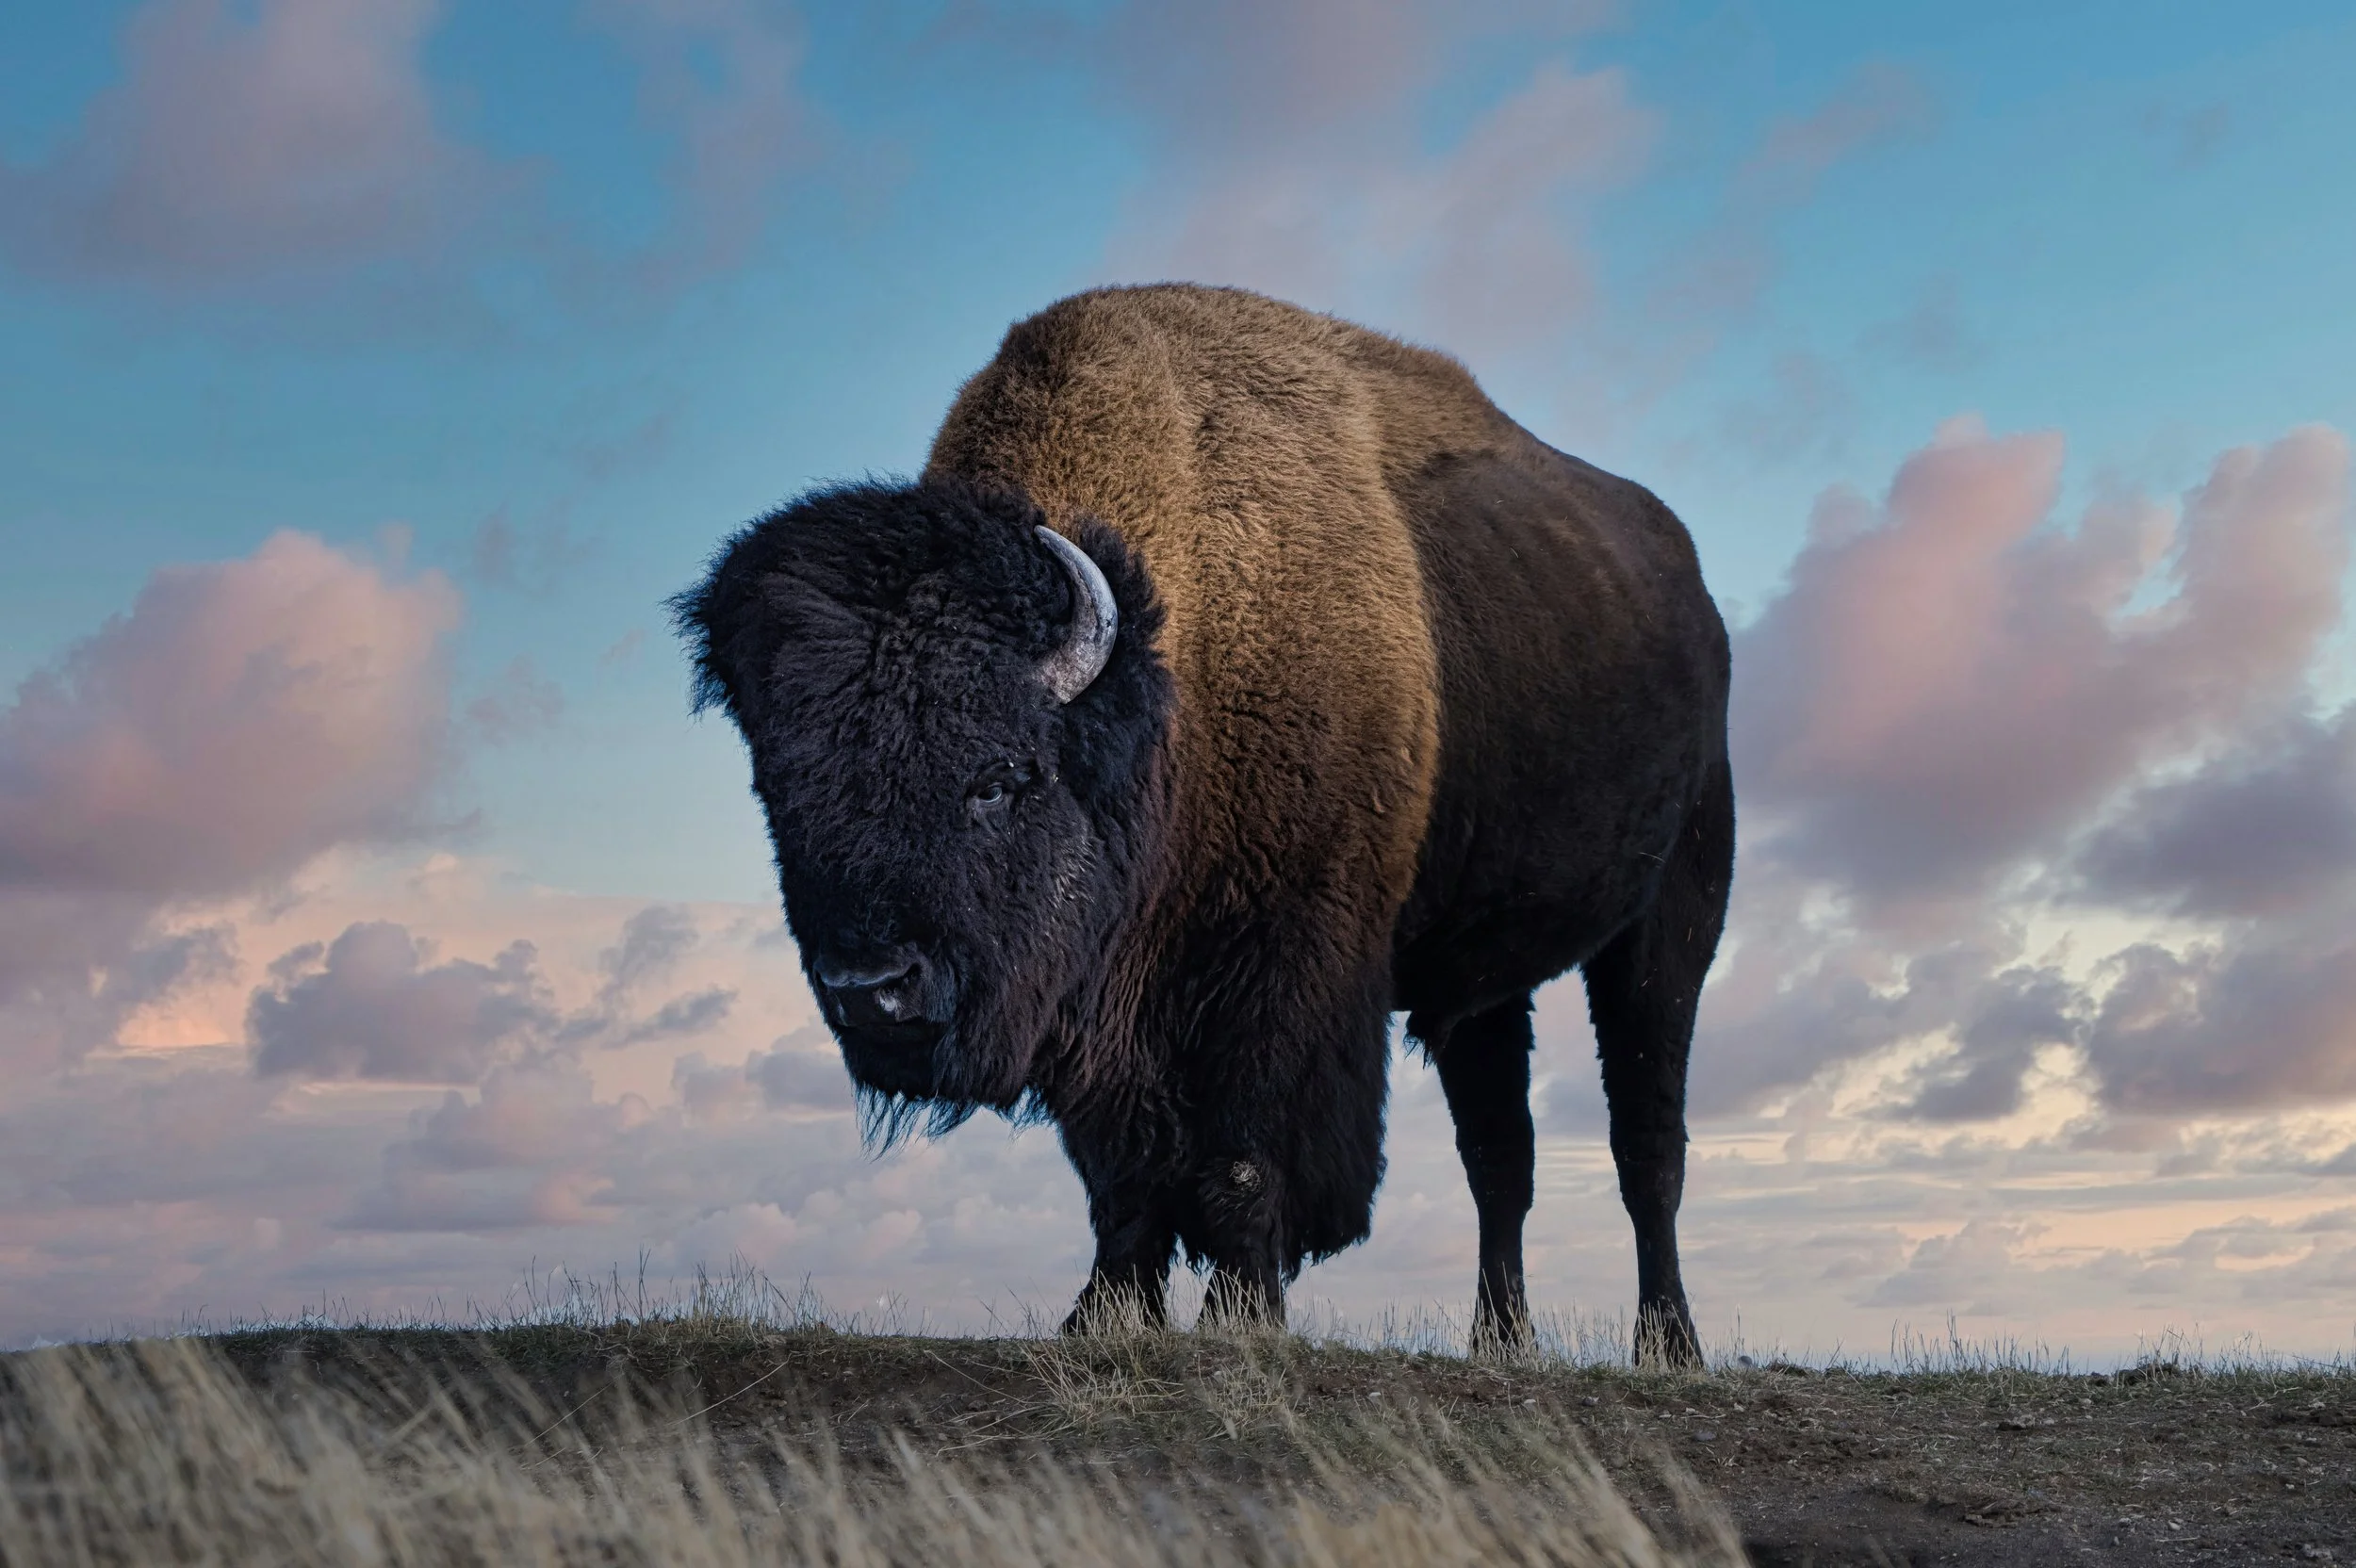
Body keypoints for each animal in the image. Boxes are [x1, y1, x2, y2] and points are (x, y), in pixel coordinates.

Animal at [675, 284, 1732, 1364]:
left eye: (1000, 778)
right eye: (779, 788)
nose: (870, 988)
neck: (1169, 679)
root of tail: (1694, 597)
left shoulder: (1282, 974)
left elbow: (1241, 1159)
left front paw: (1241, 1316)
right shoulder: (1102, 1006)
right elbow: (1122, 1179)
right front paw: (1101, 1314)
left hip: (1673, 916)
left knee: (1645, 1143)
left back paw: (1668, 1345)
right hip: (1480, 982)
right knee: (1499, 1157)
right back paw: (1500, 1340)